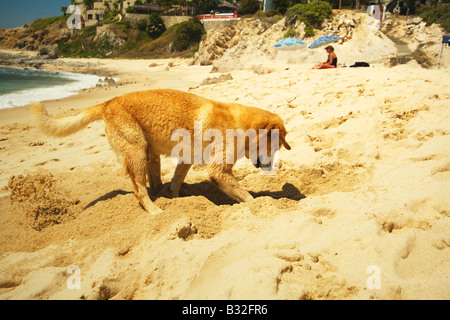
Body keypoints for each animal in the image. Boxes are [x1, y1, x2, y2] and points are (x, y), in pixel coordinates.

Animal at [31, 89, 292, 215]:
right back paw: (155, 210)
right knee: (140, 190)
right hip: (136, 152)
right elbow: (246, 196)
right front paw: (261, 203)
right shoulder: (218, 171)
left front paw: (176, 197)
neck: (238, 124)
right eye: (274, 146)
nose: (275, 168)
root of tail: (108, 103)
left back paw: (164, 197)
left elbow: (176, 181)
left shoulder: (186, 159)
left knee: (154, 185)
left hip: (150, 153)